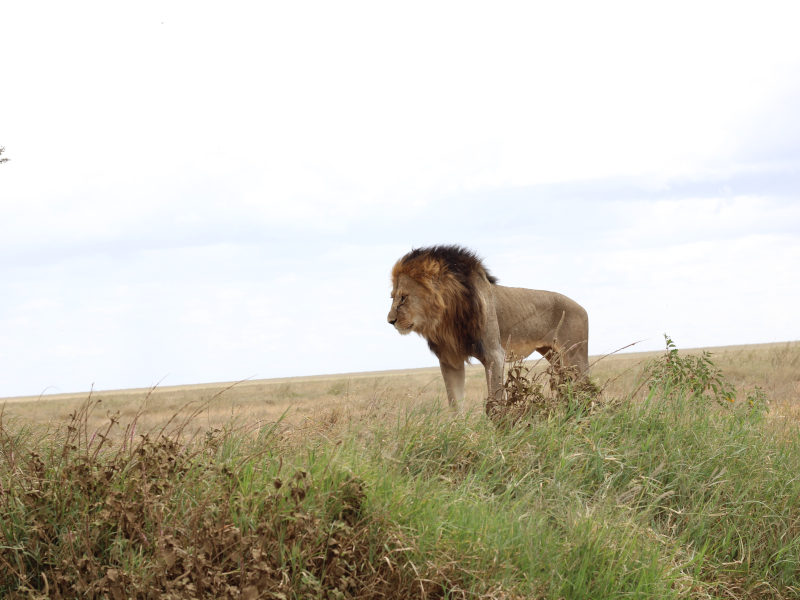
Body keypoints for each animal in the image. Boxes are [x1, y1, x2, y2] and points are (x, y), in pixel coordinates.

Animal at [388, 244, 588, 412]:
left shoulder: (494, 354)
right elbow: (455, 405)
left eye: (403, 297)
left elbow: (496, 403)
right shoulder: (449, 360)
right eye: (392, 297)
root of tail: (582, 307)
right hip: (554, 357)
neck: (447, 318)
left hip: (575, 356)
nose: (390, 321)